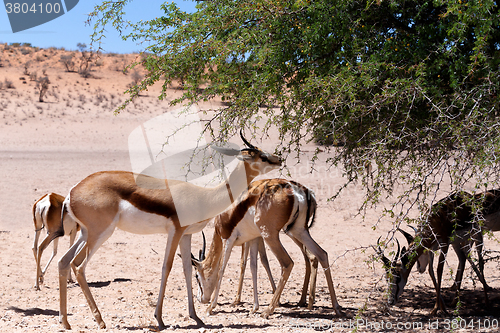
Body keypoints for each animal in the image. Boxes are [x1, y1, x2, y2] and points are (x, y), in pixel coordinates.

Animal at [57, 131, 282, 328]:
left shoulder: (186, 235)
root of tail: (72, 193)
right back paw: (100, 320)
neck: (203, 197)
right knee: (79, 267)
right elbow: (167, 267)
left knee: (64, 262)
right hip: (100, 234)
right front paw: (159, 319)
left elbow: (186, 269)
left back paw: (66, 322)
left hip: (86, 234)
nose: (279, 159)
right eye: (261, 156)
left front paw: (196, 317)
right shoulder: (175, 231)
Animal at [189, 178, 342, 318]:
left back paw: (269, 310)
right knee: (321, 254)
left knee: (288, 263)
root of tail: (296, 189)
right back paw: (336, 309)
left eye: (196, 276)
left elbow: (222, 269)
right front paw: (253, 308)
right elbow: (253, 267)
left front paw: (211, 308)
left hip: (271, 235)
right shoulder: (253, 239)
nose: (200, 299)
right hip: (298, 231)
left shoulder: (228, 239)